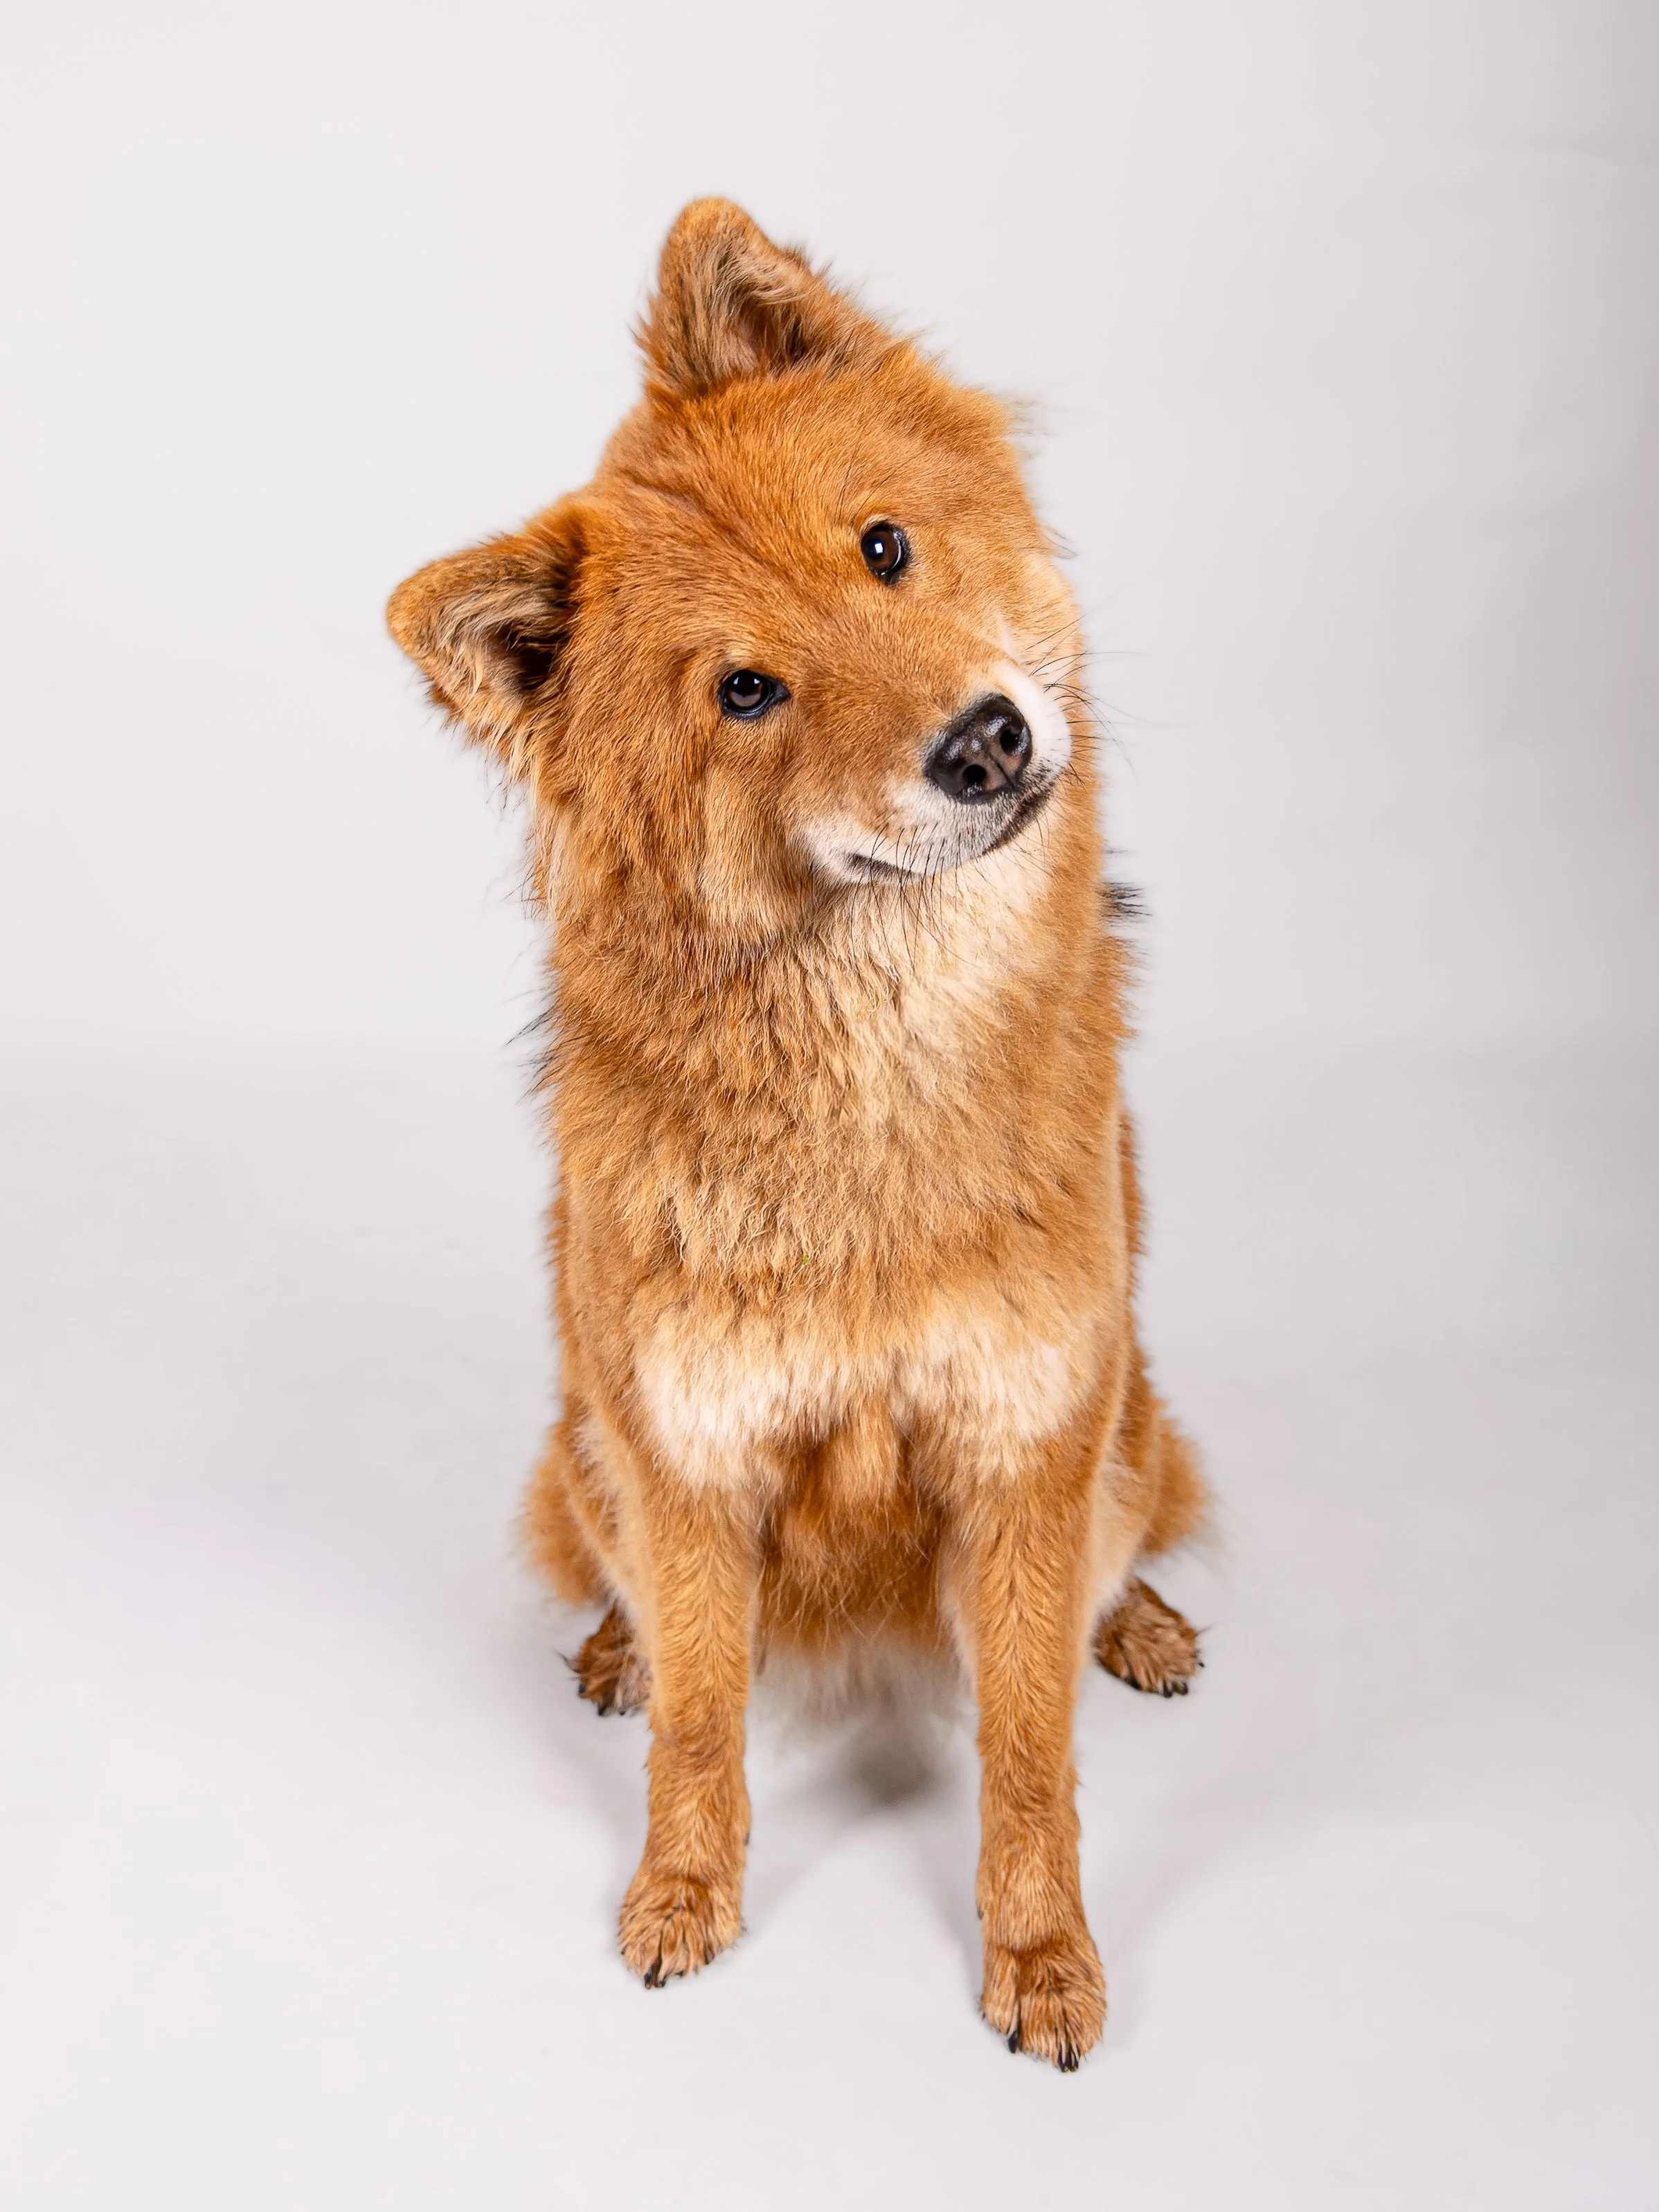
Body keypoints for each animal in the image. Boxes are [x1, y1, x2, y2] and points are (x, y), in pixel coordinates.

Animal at [388, 200, 1206, 2069]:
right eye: (747, 692)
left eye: (886, 548)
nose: (984, 738)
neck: (868, 1103)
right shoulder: (687, 1456)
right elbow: (703, 1721)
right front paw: (680, 1895)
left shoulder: (1030, 1433)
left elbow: (1029, 1749)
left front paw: (1041, 1956)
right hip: (580, 1448)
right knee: (626, 1598)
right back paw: (613, 1652)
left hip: (1127, 1409)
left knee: (1134, 1518)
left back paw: (1140, 1619)